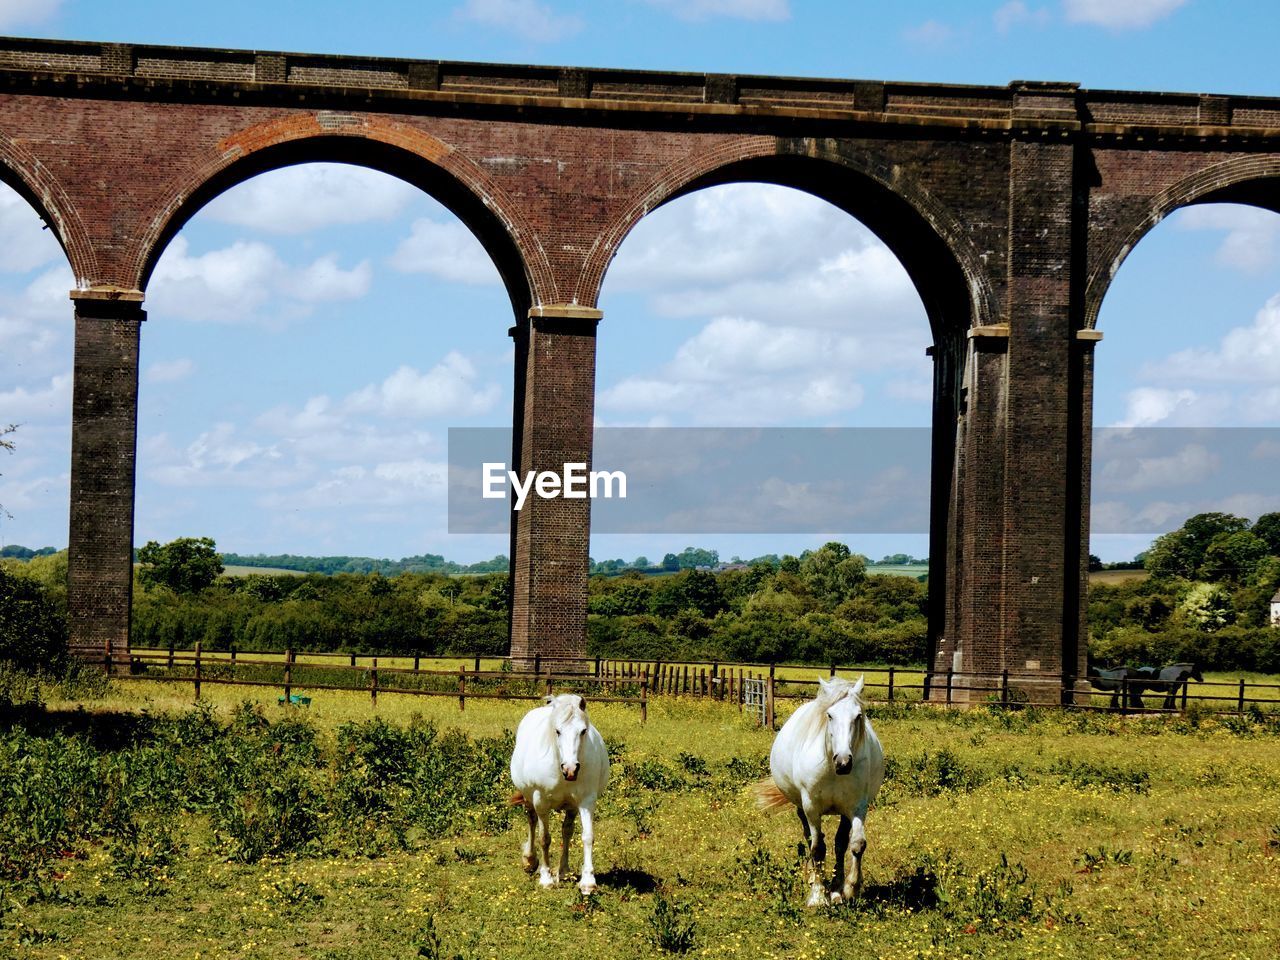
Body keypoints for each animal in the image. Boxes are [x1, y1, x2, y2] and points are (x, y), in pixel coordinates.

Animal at [506, 701, 606, 896]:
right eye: (557, 731)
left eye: (583, 731)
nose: (570, 769)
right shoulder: (541, 802)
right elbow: (544, 839)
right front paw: (546, 878)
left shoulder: (586, 801)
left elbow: (587, 836)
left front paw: (588, 881)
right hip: (529, 799)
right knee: (532, 821)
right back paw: (530, 860)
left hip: (571, 807)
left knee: (566, 831)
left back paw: (564, 871)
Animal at [752, 675, 885, 911]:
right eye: (830, 715)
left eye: (858, 716)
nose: (843, 762)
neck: (832, 770)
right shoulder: (811, 807)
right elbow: (817, 848)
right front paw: (817, 896)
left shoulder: (856, 807)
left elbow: (855, 844)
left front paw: (848, 889)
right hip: (801, 808)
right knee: (809, 838)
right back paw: (814, 878)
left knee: (839, 843)